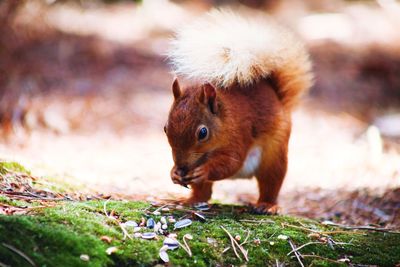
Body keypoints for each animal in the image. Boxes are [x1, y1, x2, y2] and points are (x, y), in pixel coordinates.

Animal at [162, 10, 312, 215]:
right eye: (165, 128)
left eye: (203, 132)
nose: (182, 166)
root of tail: (277, 97)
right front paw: (174, 173)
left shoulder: (239, 135)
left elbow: (231, 163)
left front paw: (203, 171)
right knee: (204, 193)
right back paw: (190, 200)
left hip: (274, 156)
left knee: (271, 183)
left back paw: (267, 205)